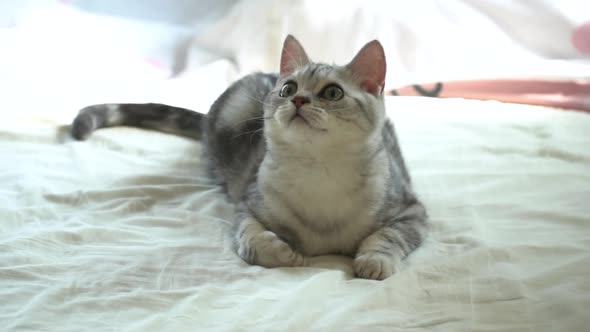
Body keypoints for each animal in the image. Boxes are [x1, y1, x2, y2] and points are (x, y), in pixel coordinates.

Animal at [71, 35, 428, 280]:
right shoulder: (248, 206)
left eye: (333, 92)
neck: (319, 173)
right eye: (288, 89)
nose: (298, 99)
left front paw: (375, 260)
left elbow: (388, 236)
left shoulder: (411, 211)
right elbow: (253, 241)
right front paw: (286, 253)